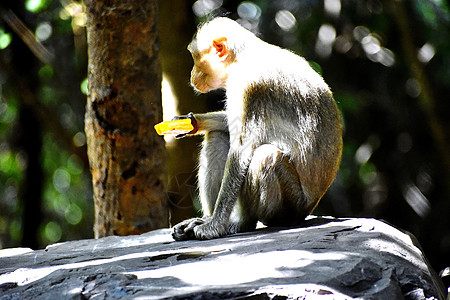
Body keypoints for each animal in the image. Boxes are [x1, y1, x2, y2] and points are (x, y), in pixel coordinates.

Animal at [171, 17, 342, 241]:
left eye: (195, 58)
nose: (192, 75)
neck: (244, 58)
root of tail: (310, 207)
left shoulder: (249, 86)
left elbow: (241, 151)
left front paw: (214, 226)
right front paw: (191, 122)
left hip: (291, 206)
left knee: (266, 156)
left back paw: (240, 223)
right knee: (218, 137)